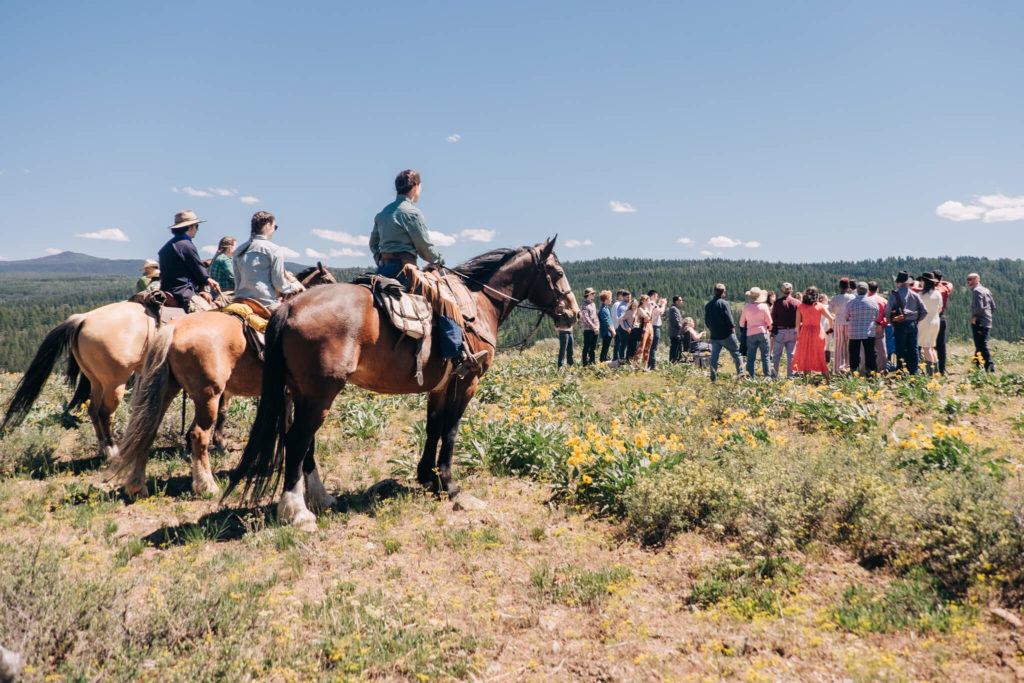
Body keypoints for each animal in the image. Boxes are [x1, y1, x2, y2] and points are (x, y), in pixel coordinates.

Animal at [116, 264, 333, 499]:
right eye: (329, 280)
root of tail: (172, 329)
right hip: (208, 395)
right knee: (198, 435)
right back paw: (206, 485)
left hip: (166, 390)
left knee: (147, 430)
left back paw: (137, 486)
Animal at [224, 237, 577, 532]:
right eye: (558, 272)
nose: (572, 313)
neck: (478, 304)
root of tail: (289, 307)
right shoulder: (466, 382)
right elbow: (450, 430)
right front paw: (448, 484)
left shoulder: (439, 387)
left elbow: (433, 427)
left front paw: (427, 477)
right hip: (321, 392)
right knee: (298, 439)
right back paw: (297, 512)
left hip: (303, 392)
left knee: (302, 441)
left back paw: (321, 498)